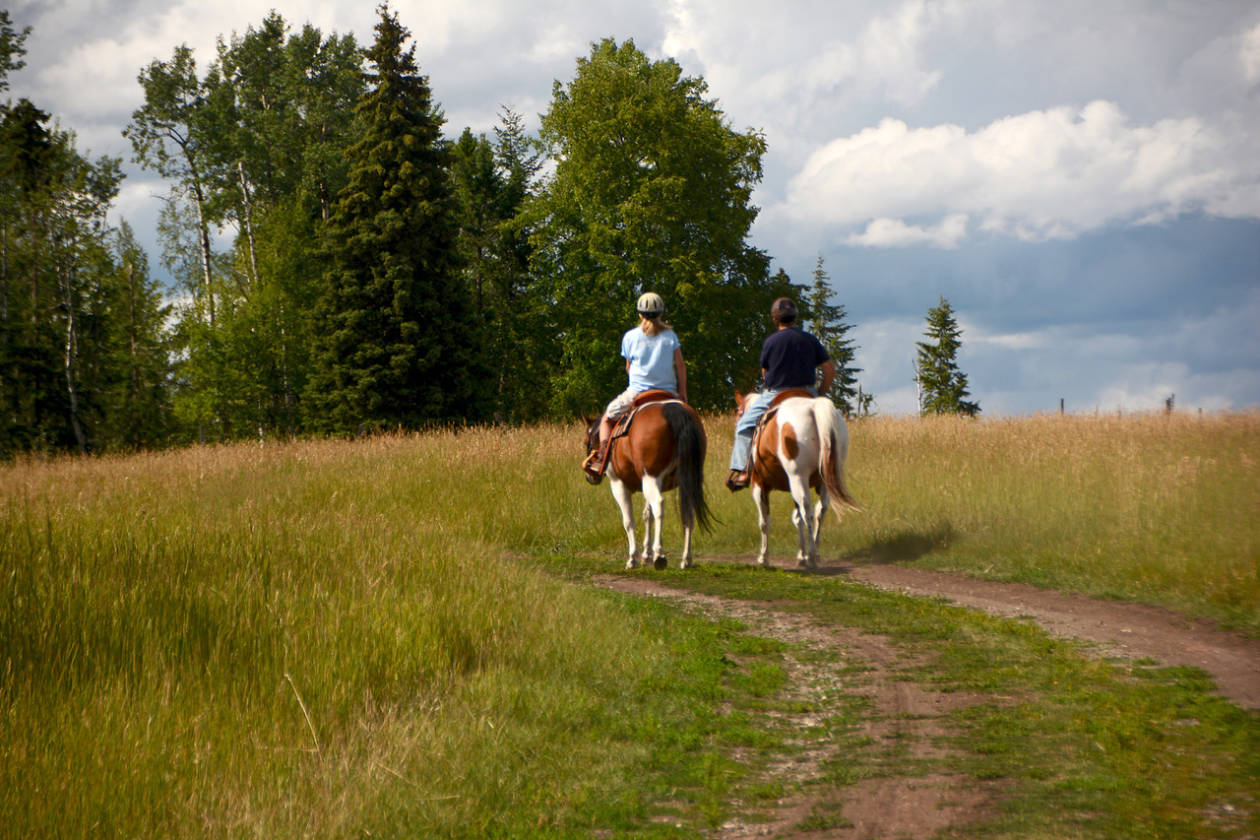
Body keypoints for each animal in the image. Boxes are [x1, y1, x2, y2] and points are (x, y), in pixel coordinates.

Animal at [583, 393, 712, 570]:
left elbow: (628, 520)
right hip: (683, 480)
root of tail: (674, 409)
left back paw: (660, 555)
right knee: (688, 514)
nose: (590, 476)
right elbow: (647, 515)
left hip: (650, 478)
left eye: (586, 442)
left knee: (659, 505)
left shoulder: (618, 484)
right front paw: (646, 555)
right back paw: (686, 559)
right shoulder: (646, 482)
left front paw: (633, 558)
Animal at [735, 390, 859, 569]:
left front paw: (763, 557)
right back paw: (814, 553)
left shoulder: (759, 484)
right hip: (822, 482)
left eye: (739, 413)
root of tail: (813, 407)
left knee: (807, 512)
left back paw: (812, 557)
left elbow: (764, 521)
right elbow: (797, 519)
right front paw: (801, 555)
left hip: (797, 477)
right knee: (820, 511)